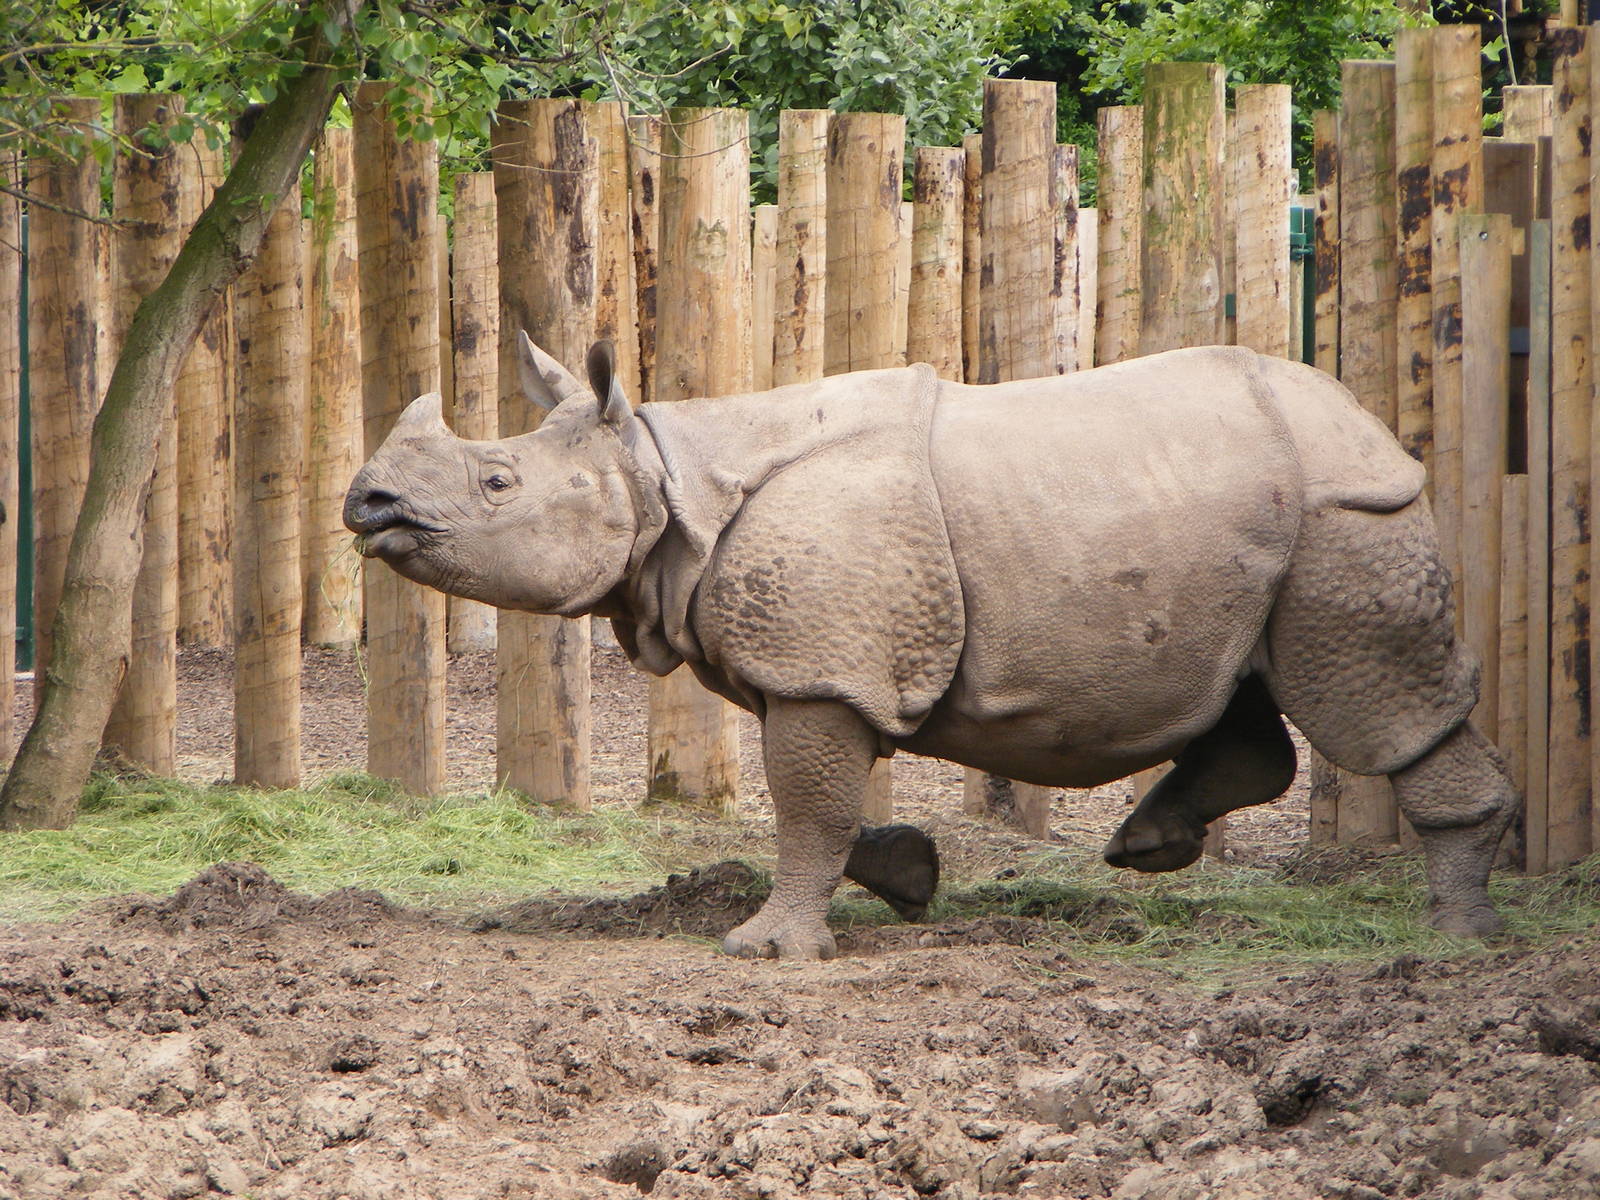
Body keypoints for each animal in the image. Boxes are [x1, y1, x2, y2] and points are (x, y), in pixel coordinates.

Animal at [345, 335, 1520, 959]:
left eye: (496, 481)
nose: (367, 503)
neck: (662, 475)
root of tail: (1372, 422)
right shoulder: (822, 664)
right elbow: (822, 801)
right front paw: (908, 876)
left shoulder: (818, 668)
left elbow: (808, 802)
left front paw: (765, 950)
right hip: (1258, 528)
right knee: (1241, 690)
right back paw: (1148, 845)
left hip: (1345, 515)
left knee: (1373, 710)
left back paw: (1455, 936)